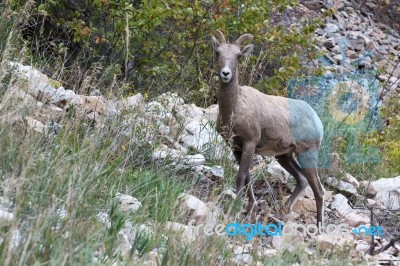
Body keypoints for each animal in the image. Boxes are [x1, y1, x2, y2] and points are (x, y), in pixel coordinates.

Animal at [212, 30, 324, 227]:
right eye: (218, 52)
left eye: (238, 55)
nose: (225, 73)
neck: (235, 107)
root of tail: (317, 121)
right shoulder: (236, 147)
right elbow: (247, 177)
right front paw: (251, 208)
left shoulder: (249, 144)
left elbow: (241, 177)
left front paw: (234, 209)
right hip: (284, 157)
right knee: (302, 180)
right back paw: (283, 212)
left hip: (307, 154)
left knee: (318, 190)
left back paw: (319, 228)